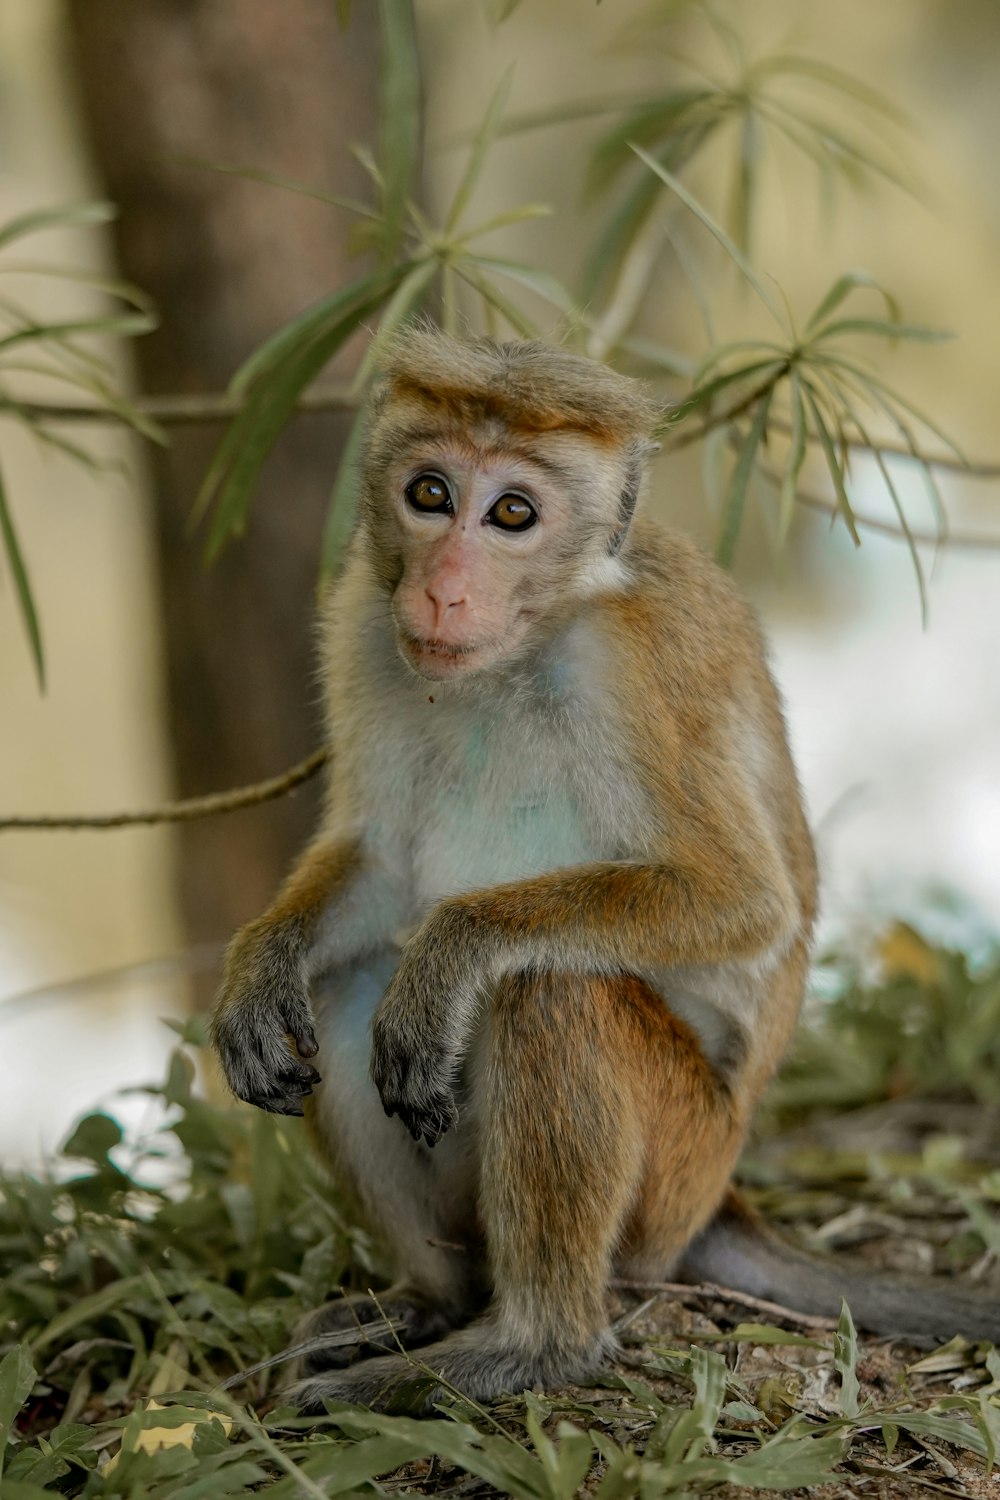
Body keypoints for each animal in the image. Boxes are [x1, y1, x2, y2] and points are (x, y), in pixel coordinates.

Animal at [211, 322, 1000, 1410]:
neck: (528, 642)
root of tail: (719, 1200)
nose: (442, 588)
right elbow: (379, 861)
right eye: (429, 494)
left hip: (674, 1174)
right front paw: (258, 966)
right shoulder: (364, 624)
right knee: (343, 988)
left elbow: (740, 899)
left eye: (512, 512)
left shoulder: (639, 669)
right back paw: (432, 1301)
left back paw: (527, 1342)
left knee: (551, 990)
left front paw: (452, 952)